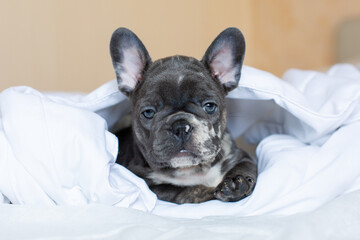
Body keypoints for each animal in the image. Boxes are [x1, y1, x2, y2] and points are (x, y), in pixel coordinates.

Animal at [111, 27, 258, 203]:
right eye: (148, 112)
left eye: (210, 106)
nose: (181, 127)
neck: (190, 169)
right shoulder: (149, 185)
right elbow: (189, 190)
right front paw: (210, 191)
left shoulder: (240, 156)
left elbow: (245, 167)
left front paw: (237, 183)